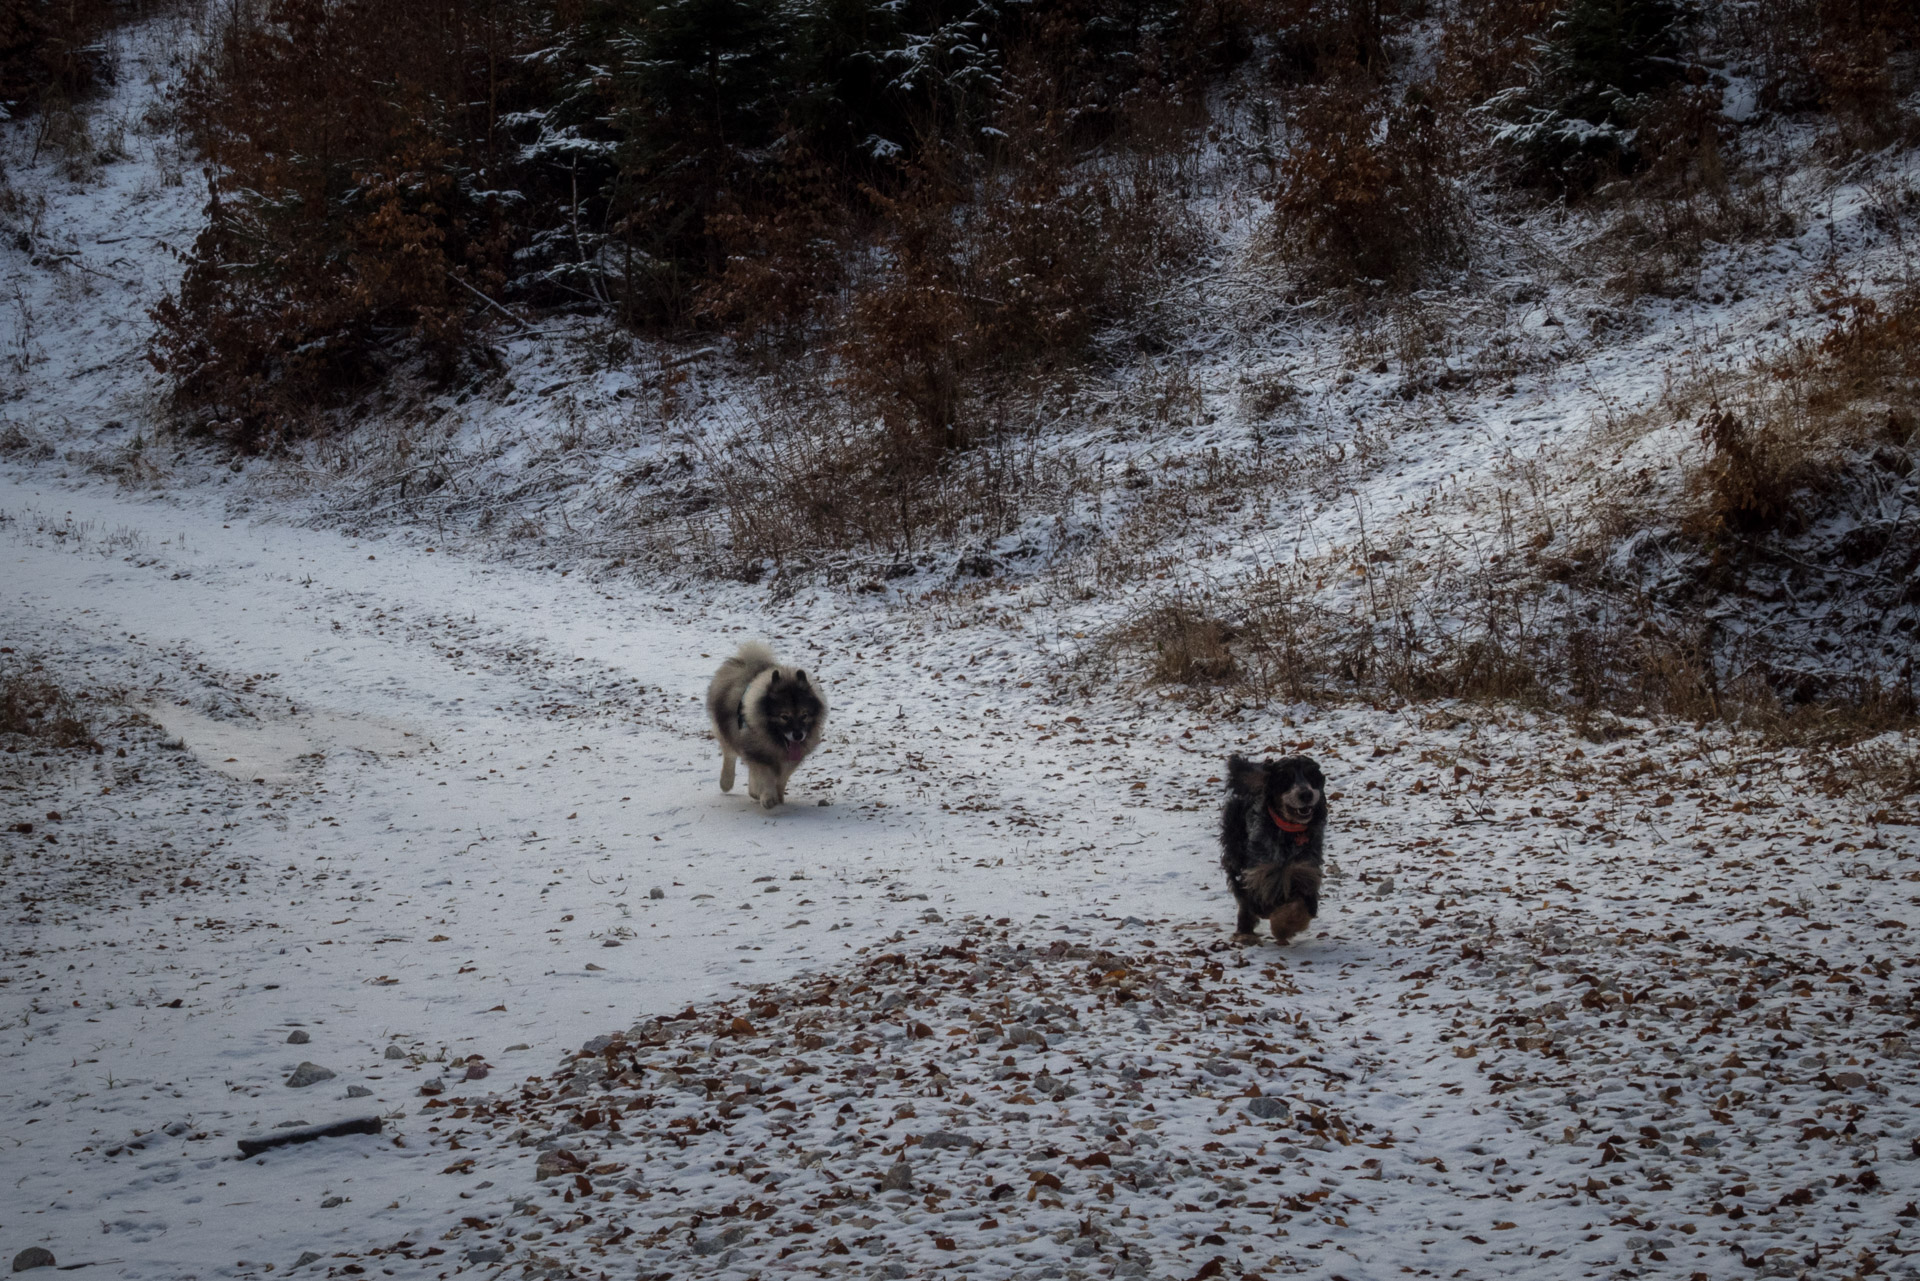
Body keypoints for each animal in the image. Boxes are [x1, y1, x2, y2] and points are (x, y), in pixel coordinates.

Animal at [706, 641, 825, 810]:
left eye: (804, 715)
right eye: (784, 716)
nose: (798, 735)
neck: (776, 743)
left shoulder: (788, 760)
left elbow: (781, 778)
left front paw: (777, 796)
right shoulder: (758, 754)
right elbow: (765, 776)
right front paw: (767, 797)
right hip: (728, 732)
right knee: (729, 755)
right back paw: (727, 782)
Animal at [1221, 756, 1328, 948]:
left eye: (1311, 775)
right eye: (1286, 778)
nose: (1306, 794)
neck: (1289, 832)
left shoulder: (1305, 871)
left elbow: (1300, 905)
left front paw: (1283, 928)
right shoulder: (1259, 874)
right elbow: (1257, 903)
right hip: (1235, 854)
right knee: (1243, 901)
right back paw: (1245, 934)